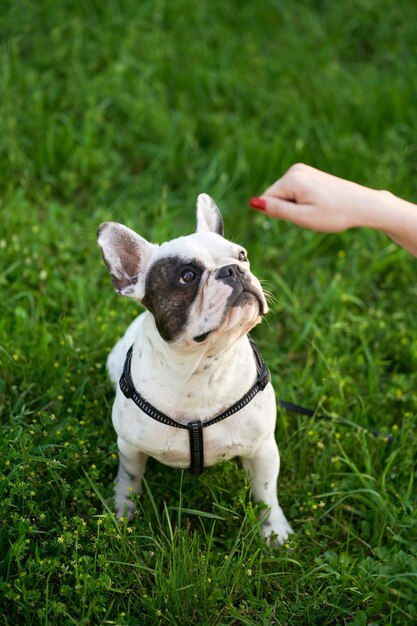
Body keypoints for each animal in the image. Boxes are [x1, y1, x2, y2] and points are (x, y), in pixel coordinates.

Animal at [97, 194, 292, 540]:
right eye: (187, 276)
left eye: (242, 255)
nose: (233, 270)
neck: (203, 370)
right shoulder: (130, 447)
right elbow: (129, 478)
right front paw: (121, 511)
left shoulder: (263, 450)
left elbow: (266, 492)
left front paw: (274, 531)